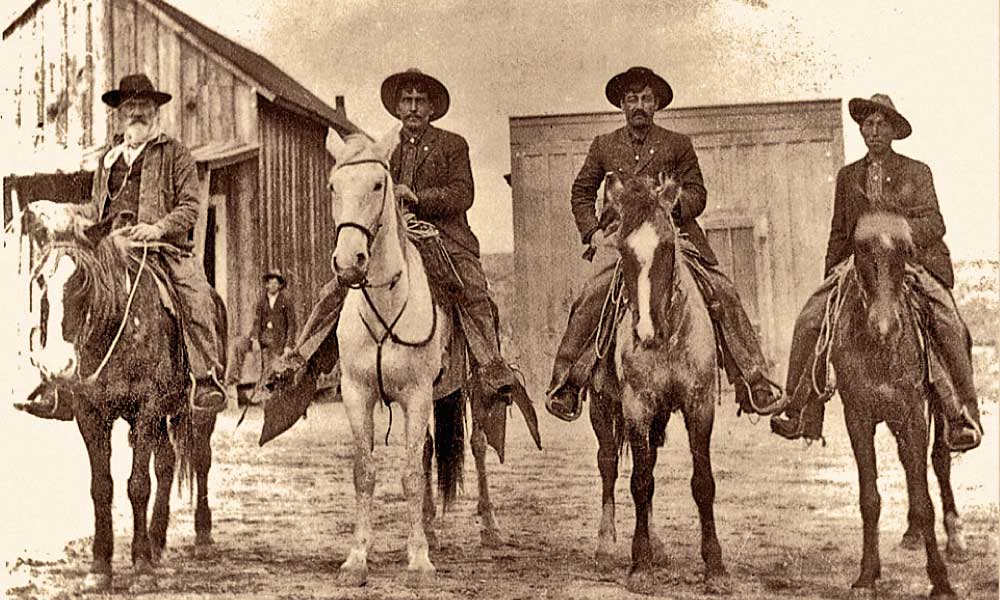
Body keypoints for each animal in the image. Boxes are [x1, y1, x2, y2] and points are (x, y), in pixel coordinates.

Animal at [21, 203, 221, 596]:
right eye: (40, 282)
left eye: (82, 280)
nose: (57, 366)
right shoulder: (90, 413)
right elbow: (102, 487)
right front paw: (100, 566)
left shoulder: (147, 408)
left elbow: (138, 486)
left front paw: (141, 567)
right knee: (167, 464)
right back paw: (157, 538)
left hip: (197, 413)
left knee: (200, 460)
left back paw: (203, 537)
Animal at [326, 127, 452, 584]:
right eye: (333, 186)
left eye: (378, 184)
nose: (349, 262)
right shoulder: (356, 394)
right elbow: (365, 472)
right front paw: (356, 558)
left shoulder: (417, 396)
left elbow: (411, 475)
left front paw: (419, 560)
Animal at [584, 171, 728, 592]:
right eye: (623, 250)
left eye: (667, 247)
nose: (647, 332)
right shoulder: (636, 406)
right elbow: (639, 482)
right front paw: (640, 564)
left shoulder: (699, 403)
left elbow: (702, 483)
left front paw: (715, 567)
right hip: (603, 407)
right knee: (609, 465)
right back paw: (606, 546)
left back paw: (659, 544)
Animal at [832, 212, 956, 600]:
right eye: (860, 249)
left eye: (906, 250)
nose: (885, 326)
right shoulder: (857, 417)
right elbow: (869, 498)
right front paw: (867, 574)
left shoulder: (914, 414)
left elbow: (924, 499)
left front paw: (941, 580)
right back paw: (912, 534)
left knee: (939, 462)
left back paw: (955, 537)